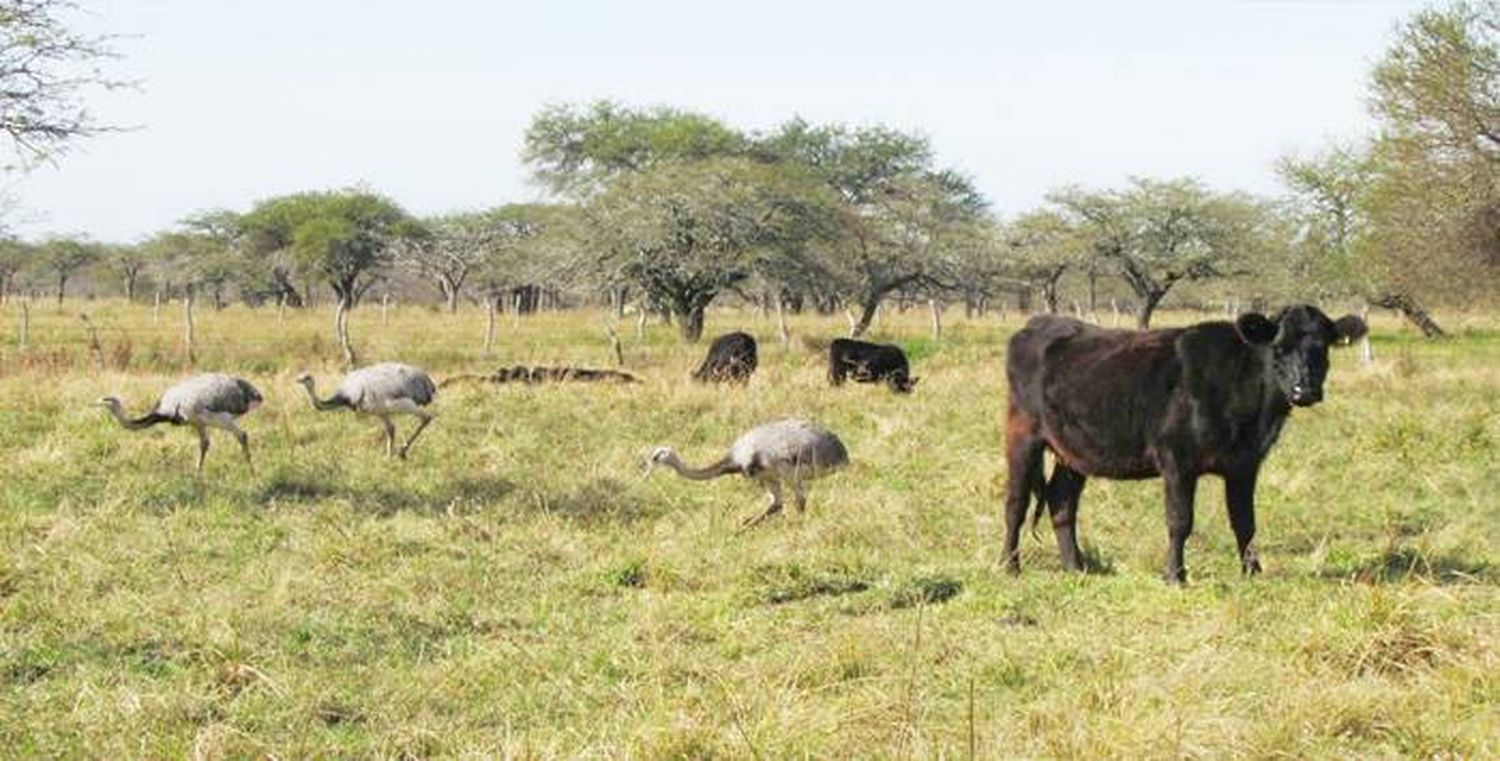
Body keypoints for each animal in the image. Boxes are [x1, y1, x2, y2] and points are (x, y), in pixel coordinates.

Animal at [1002, 303, 1368, 582]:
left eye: (1322, 349)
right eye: (1278, 348)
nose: (1304, 390)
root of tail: (1040, 322)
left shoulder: (1245, 464)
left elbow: (1245, 522)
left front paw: (1252, 572)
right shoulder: (1177, 460)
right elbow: (1180, 521)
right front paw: (1175, 575)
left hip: (1074, 451)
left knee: (1062, 501)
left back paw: (1075, 568)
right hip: (1023, 435)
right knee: (1016, 504)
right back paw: (1009, 566)